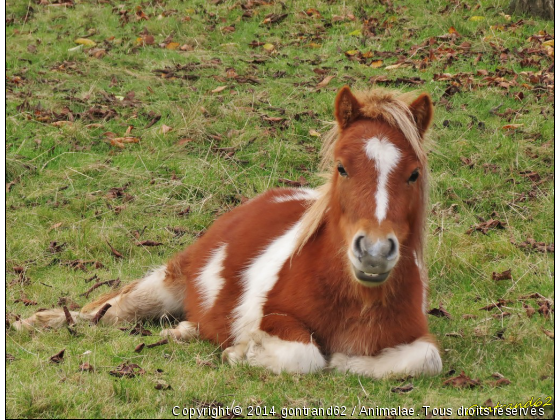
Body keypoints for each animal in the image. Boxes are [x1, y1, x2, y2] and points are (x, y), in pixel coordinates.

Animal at [13, 85, 442, 378]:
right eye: (342, 167)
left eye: (413, 174)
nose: (373, 252)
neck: (352, 297)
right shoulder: (272, 318)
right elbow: (303, 354)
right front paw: (241, 353)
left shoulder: (417, 335)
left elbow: (425, 359)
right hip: (162, 286)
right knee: (106, 312)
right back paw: (31, 324)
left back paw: (184, 331)